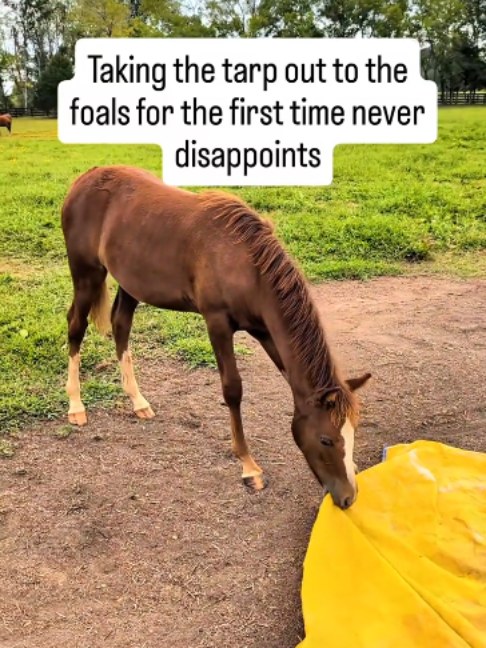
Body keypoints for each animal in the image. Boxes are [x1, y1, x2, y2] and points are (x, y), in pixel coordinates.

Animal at [61, 165, 371, 509]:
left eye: (352, 431)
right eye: (325, 439)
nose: (347, 498)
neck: (247, 265)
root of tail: (86, 178)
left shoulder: (264, 330)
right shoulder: (217, 323)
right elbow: (232, 389)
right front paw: (249, 467)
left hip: (130, 282)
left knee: (120, 325)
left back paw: (138, 400)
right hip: (86, 274)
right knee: (76, 326)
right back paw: (76, 405)